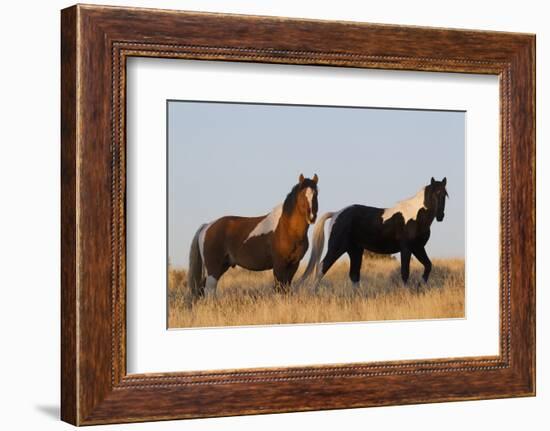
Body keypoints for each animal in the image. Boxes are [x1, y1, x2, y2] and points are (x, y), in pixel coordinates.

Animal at [189, 174, 320, 298]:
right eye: (302, 194)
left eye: (316, 194)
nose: (312, 217)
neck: (286, 228)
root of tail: (207, 226)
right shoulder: (279, 264)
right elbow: (279, 289)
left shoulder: (293, 264)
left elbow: (286, 289)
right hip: (213, 268)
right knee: (209, 290)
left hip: (222, 266)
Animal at [302, 177, 448, 288]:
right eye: (435, 193)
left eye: (445, 195)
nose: (440, 216)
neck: (415, 216)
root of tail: (336, 214)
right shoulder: (406, 248)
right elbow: (405, 273)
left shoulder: (418, 247)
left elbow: (428, 265)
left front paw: (420, 284)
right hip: (337, 248)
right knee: (322, 268)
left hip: (355, 250)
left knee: (354, 275)